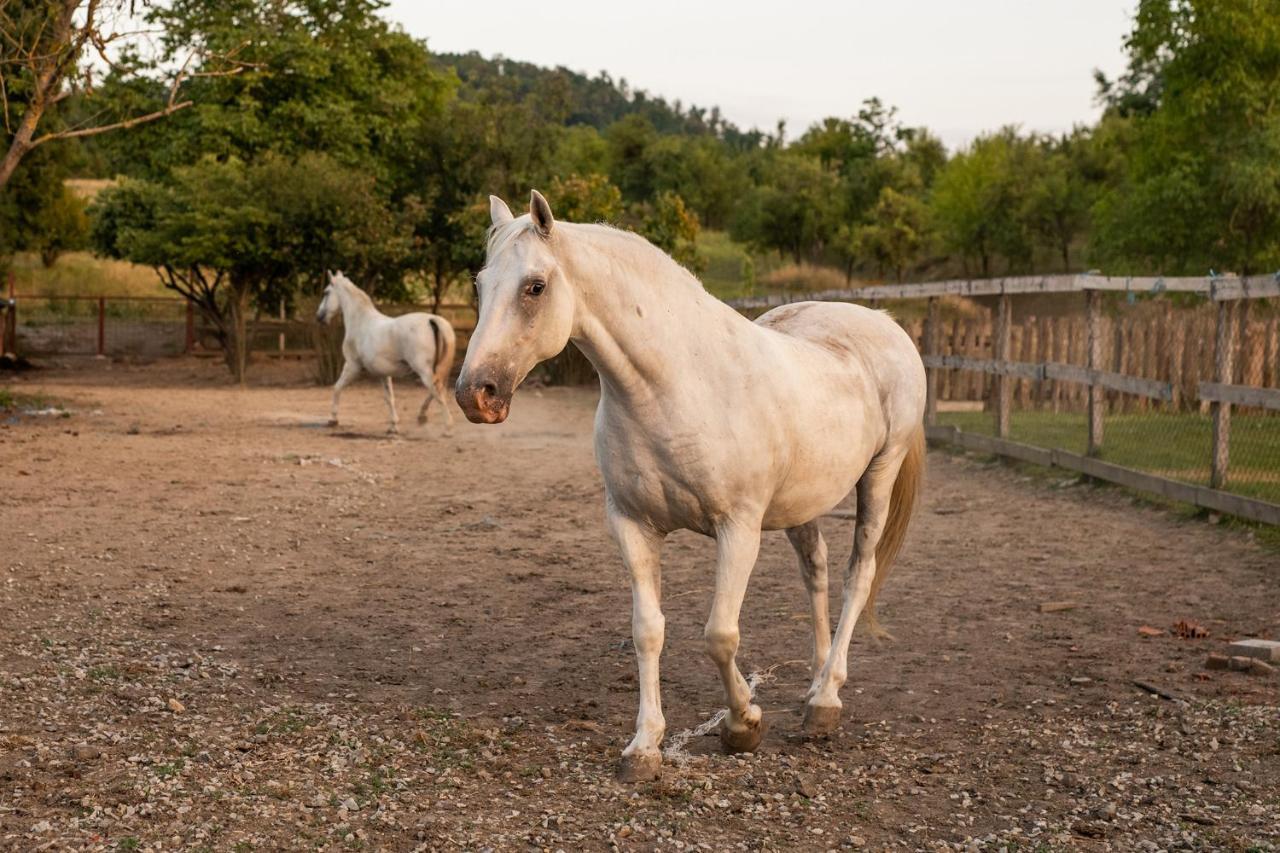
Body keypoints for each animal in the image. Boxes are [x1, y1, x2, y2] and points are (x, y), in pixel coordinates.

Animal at [317, 270, 458, 432]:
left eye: (326, 292)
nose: (319, 316)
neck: (361, 322)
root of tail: (433, 321)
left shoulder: (352, 366)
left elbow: (337, 387)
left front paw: (333, 419)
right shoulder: (383, 374)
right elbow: (389, 397)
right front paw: (393, 426)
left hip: (424, 370)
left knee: (438, 392)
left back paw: (447, 427)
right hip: (439, 369)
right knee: (437, 390)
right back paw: (422, 417)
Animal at [455, 190, 926, 778]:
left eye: (535, 286)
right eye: (480, 284)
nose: (475, 393)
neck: (674, 385)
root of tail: (883, 321)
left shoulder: (738, 529)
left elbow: (719, 635)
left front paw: (743, 724)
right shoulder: (631, 525)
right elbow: (647, 630)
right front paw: (644, 746)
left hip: (879, 476)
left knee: (857, 576)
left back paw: (825, 702)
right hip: (803, 503)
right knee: (815, 573)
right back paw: (815, 684)